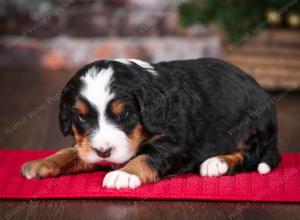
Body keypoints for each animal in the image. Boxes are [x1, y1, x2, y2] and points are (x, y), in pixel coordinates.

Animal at [21, 58, 282, 189]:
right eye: (81, 117)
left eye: (125, 115)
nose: (104, 152)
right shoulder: (88, 145)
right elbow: (72, 151)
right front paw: (41, 162)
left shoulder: (173, 141)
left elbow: (146, 156)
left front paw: (124, 174)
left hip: (251, 126)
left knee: (250, 154)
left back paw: (217, 163)